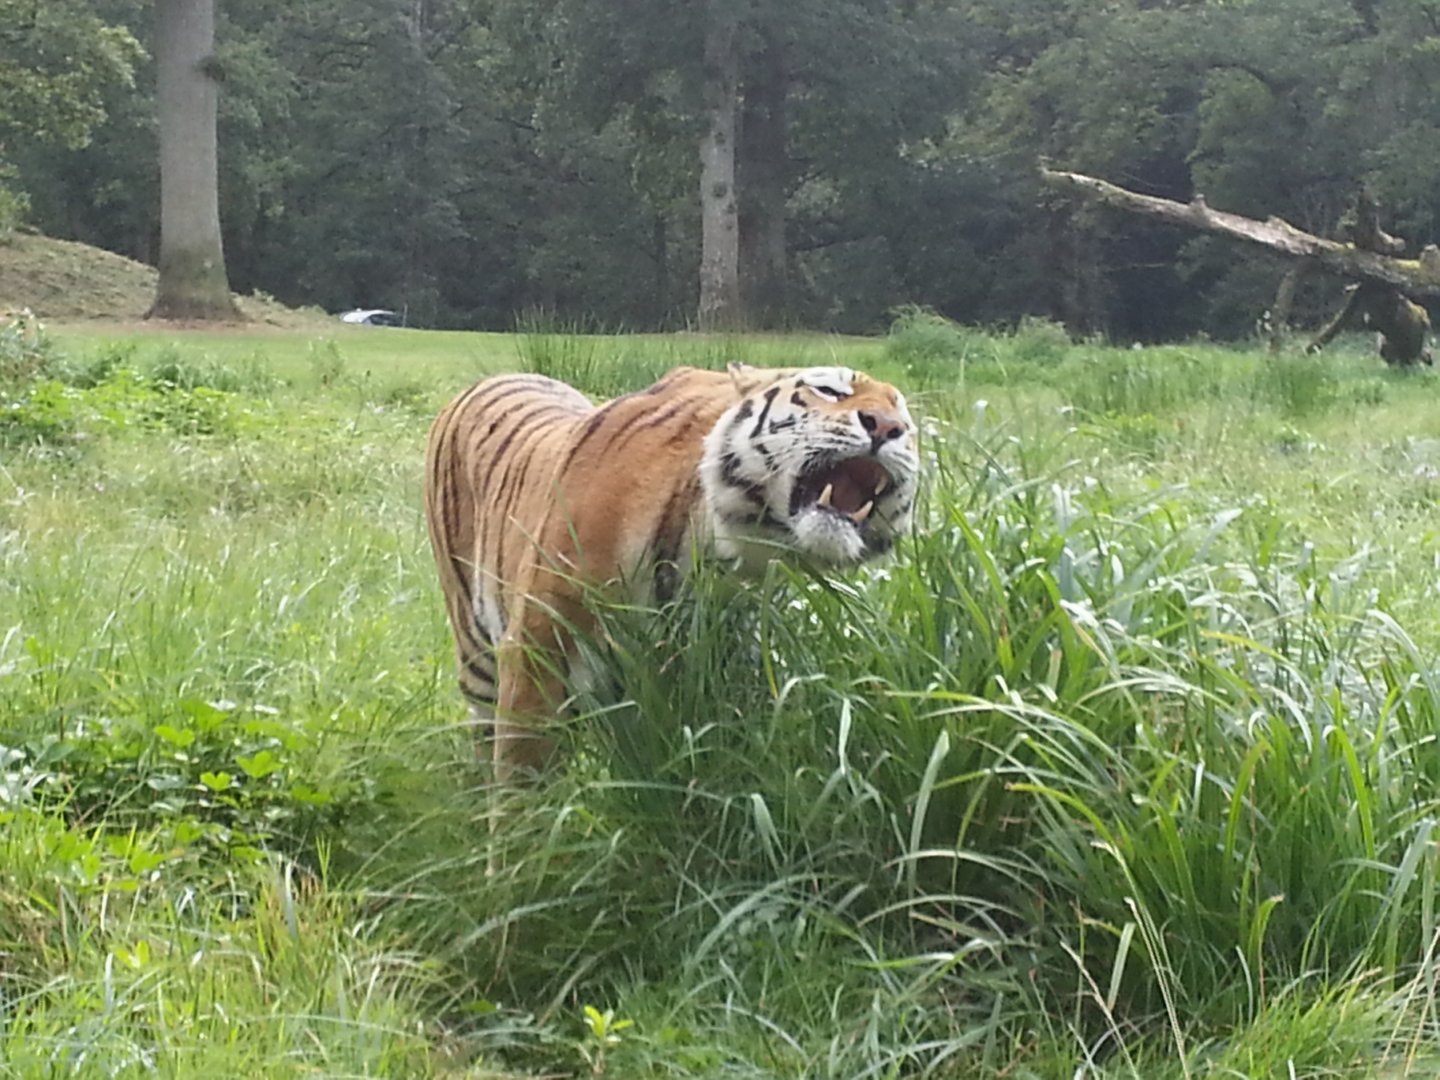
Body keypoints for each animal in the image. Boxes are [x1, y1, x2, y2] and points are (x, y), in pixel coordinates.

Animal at [423, 362, 919, 783]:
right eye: (830, 390)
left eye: (906, 423)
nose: (886, 427)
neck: (733, 553)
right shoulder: (538, 656)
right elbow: (522, 788)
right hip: (477, 654)